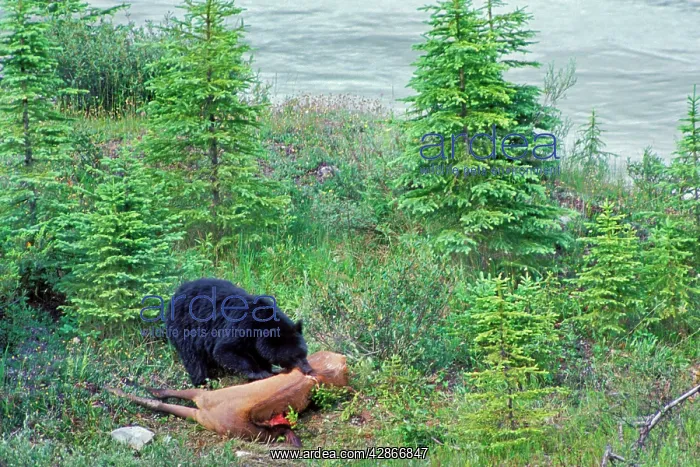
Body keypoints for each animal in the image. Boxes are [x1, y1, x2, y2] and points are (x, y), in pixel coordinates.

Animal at [166, 278, 312, 386]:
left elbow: (259, 353)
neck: (262, 324)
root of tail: (174, 295)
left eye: (304, 353)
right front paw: (258, 373)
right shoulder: (242, 326)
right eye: (294, 357)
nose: (309, 369)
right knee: (194, 359)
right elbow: (224, 350)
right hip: (185, 329)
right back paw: (203, 382)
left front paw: (269, 369)